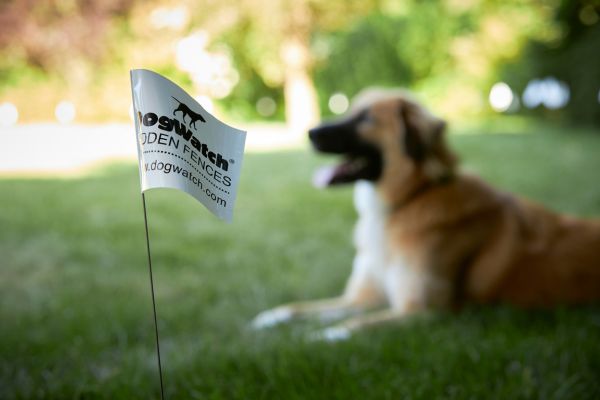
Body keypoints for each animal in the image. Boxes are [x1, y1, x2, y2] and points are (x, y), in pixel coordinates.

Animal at [250, 89, 600, 340]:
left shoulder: (425, 311)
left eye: (366, 119)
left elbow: (354, 325)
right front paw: (270, 318)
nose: (309, 132)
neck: (410, 199)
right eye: (350, 110)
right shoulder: (362, 297)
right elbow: (304, 307)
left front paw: (316, 336)